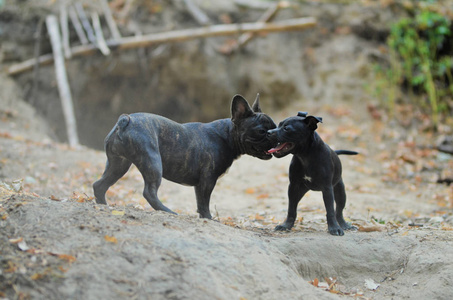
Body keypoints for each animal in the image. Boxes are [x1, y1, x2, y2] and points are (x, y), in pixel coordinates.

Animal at [93, 94, 274, 218]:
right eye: (261, 131)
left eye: (274, 125)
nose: (274, 134)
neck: (227, 135)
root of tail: (125, 120)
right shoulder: (207, 180)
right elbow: (204, 203)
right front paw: (208, 218)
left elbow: (200, 202)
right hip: (152, 162)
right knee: (149, 192)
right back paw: (168, 211)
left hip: (118, 164)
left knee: (100, 185)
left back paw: (103, 205)